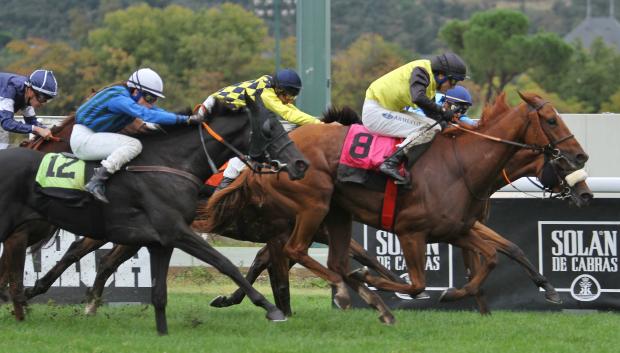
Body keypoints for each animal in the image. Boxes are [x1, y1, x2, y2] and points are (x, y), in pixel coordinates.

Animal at [0, 95, 308, 332]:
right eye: (269, 128)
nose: (300, 163)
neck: (172, 163)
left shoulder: (161, 238)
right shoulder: (175, 230)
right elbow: (226, 264)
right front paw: (270, 307)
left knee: (92, 258)